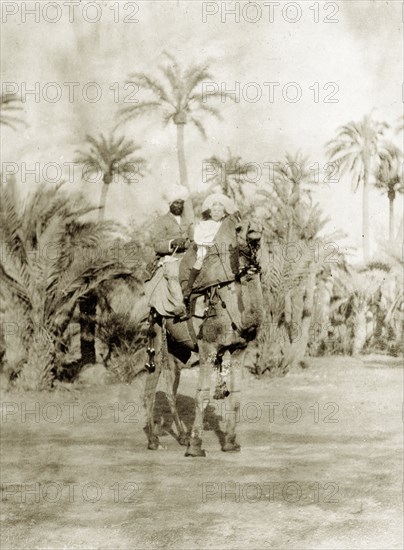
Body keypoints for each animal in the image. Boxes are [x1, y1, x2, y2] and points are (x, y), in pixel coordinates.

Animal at [142, 215, 266, 458]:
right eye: (239, 227)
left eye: (260, 225)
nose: (255, 232)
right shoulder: (207, 347)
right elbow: (203, 394)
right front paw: (196, 447)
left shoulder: (239, 349)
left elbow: (236, 394)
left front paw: (230, 443)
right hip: (157, 329)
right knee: (152, 382)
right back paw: (153, 441)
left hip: (177, 347)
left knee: (171, 385)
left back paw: (180, 437)